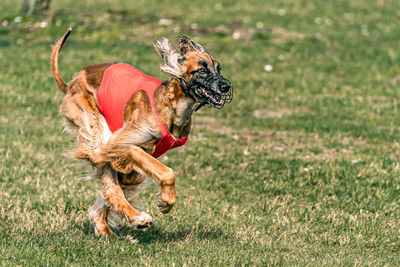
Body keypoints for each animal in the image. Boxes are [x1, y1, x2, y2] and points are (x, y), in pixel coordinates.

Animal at [51, 27, 233, 239]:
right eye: (201, 69)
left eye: (218, 69)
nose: (226, 86)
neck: (173, 106)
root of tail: (74, 81)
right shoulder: (122, 143)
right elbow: (166, 172)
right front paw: (166, 201)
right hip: (92, 124)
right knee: (111, 184)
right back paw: (136, 218)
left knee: (111, 191)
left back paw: (110, 227)